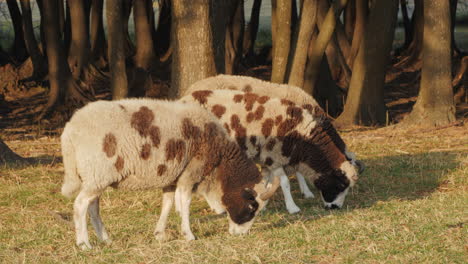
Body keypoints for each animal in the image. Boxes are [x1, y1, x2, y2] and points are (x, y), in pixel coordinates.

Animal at [58, 99, 278, 250]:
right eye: (252, 206)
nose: (242, 235)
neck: (220, 163)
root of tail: (69, 132)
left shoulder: (172, 176)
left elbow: (168, 204)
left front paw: (160, 234)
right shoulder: (191, 173)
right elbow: (185, 204)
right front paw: (188, 235)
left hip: (96, 176)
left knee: (93, 208)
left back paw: (105, 239)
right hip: (97, 173)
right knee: (80, 205)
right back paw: (84, 244)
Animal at [185, 73, 364, 212]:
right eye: (340, 186)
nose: (334, 208)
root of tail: (187, 92)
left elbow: (271, 179)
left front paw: (264, 198)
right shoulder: (276, 153)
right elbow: (288, 180)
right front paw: (296, 203)